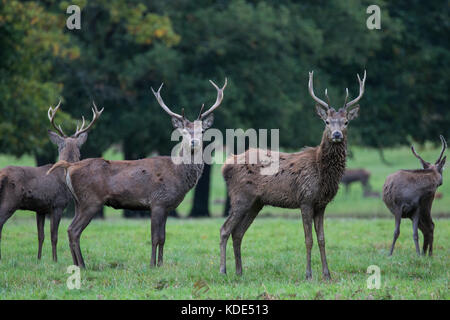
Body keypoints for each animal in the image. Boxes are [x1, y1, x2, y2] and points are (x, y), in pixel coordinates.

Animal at [0, 101, 102, 262]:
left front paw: (39, 259)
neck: (63, 173)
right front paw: (55, 260)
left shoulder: (40, 209)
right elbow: (54, 236)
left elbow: (40, 236)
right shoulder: (57, 204)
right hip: (9, 201)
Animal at [47, 78, 227, 268]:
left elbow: (163, 238)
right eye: (183, 131)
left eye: (202, 131)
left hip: (78, 202)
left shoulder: (167, 207)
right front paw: (152, 265)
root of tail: (70, 166)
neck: (178, 174)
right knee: (73, 230)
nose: (194, 142)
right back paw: (82, 264)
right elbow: (155, 238)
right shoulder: (157, 202)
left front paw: (161, 264)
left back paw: (76, 264)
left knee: (70, 229)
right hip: (91, 200)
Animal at [221, 70, 366, 280]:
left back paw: (240, 272)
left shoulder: (321, 204)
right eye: (327, 122)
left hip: (256, 202)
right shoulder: (305, 199)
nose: (337, 134)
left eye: (346, 122)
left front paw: (327, 274)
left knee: (238, 232)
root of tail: (225, 166)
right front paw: (308, 274)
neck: (323, 174)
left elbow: (322, 239)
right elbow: (308, 239)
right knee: (225, 229)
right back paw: (223, 270)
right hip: (241, 196)